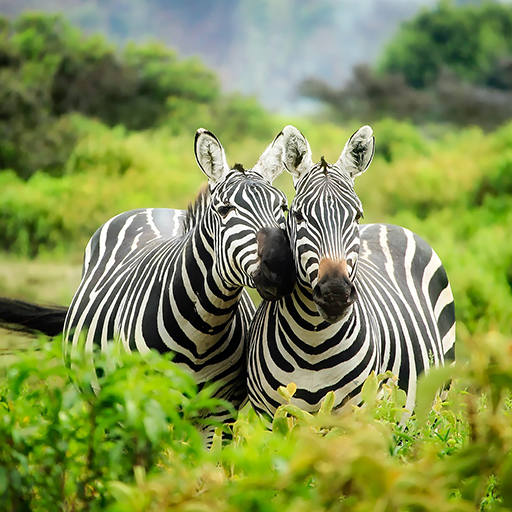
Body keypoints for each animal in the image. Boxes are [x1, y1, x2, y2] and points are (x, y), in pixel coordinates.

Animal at [1, 128, 296, 428]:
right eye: (225, 210)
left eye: (283, 207)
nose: (282, 269)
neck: (204, 331)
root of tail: (155, 209)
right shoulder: (146, 406)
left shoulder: (221, 413)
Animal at [248, 125, 456, 420]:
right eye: (298, 216)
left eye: (356, 216)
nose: (335, 293)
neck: (312, 343)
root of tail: (389, 225)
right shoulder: (272, 418)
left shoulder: (356, 416)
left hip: (437, 401)